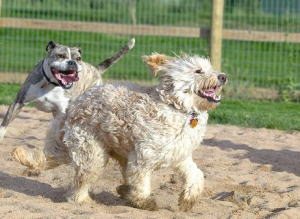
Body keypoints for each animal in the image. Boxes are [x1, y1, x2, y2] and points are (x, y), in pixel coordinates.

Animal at [0, 37, 135, 140]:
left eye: (78, 58)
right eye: (60, 55)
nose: (72, 62)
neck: (50, 84)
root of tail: (96, 69)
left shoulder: (61, 112)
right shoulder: (19, 101)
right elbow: (5, 122)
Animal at [63, 52, 227, 210]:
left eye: (210, 68)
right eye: (198, 71)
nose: (223, 76)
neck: (177, 107)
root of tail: (81, 98)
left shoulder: (180, 155)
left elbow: (195, 174)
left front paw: (188, 199)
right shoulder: (142, 157)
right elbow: (140, 182)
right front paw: (144, 202)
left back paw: (123, 190)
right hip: (92, 154)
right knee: (82, 182)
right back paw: (83, 200)